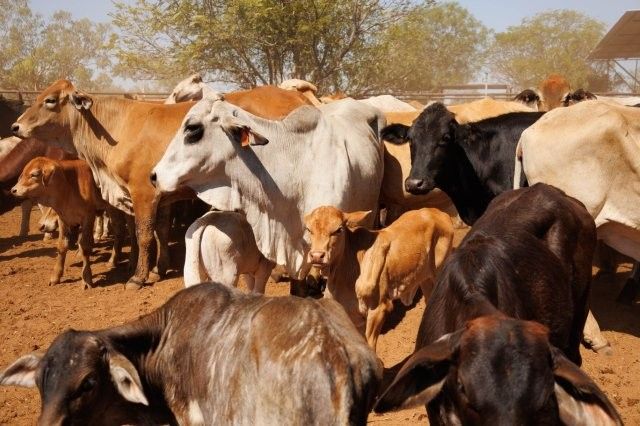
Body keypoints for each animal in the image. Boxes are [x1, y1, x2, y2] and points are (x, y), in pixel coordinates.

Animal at [12, 157, 125, 288]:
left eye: (34, 174)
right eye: (23, 173)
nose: (13, 190)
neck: (69, 187)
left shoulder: (88, 217)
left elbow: (85, 245)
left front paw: (87, 278)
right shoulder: (63, 219)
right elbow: (62, 245)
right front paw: (56, 276)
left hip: (113, 209)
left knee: (120, 230)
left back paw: (113, 260)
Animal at [303, 206, 453, 352]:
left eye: (338, 230)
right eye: (309, 230)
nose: (317, 256)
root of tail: (439, 213)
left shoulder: (379, 308)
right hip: (425, 279)